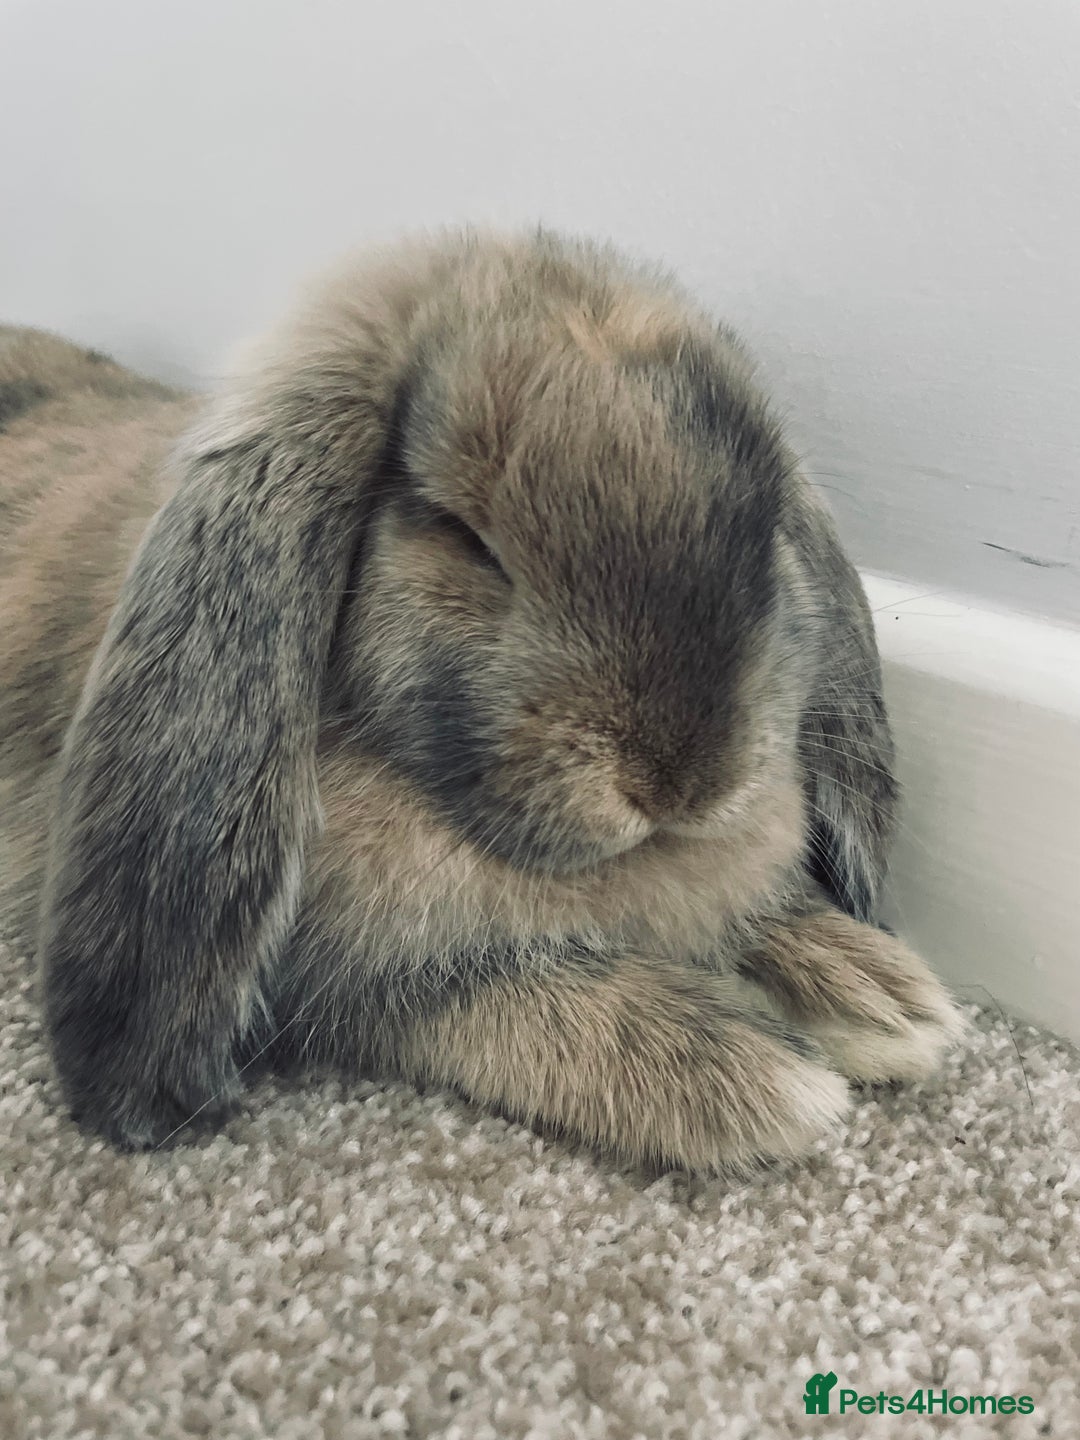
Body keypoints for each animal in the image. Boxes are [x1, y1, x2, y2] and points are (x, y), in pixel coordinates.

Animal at [0, 229, 963, 1169]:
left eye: (763, 530)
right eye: (464, 538)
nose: (681, 782)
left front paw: (881, 995)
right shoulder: (366, 989)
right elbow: (530, 1003)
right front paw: (757, 1079)